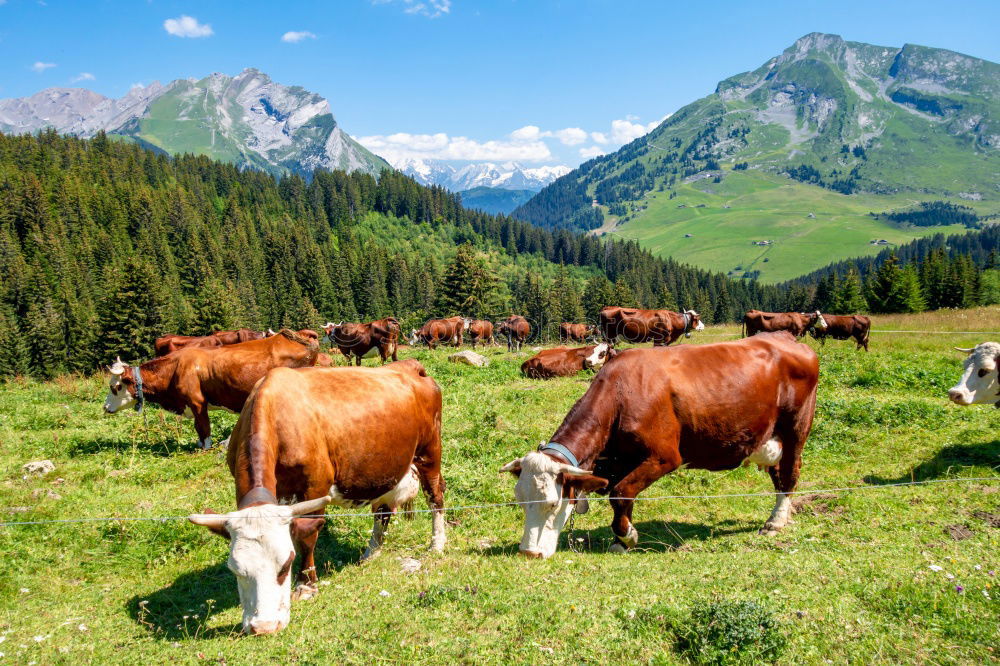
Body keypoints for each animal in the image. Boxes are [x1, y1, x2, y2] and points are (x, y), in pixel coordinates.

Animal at [103, 330, 318, 448]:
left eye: (116, 387)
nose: (105, 408)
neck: (176, 368)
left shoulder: (197, 402)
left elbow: (203, 427)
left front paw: (205, 447)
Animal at [189, 358, 448, 632]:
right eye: (236, 570)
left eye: (286, 564)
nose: (264, 627)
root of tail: (409, 365)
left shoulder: (315, 487)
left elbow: (306, 537)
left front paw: (306, 585)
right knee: (383, 510)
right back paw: (372, 552)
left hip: (429, 451)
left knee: (435, 495)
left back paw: (437, 543)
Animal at [500, 330, 820, 556]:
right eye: (520, 501)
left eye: (553, 504)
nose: (529, 553)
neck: (620, 394)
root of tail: (785, 337)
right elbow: (622, 495)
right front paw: (620, 539)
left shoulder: (665, 456)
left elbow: (620, 493)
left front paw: (627, 536)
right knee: (778, 474)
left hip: (796, 428)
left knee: (790, 474)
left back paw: (775, 522)